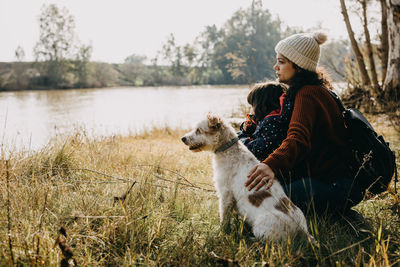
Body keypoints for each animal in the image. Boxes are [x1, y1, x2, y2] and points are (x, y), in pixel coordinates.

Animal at [181, 115, 310, 241]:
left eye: (198, 130)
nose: (183, 138)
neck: (228, 149)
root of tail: (303, 230)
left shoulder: (226, 194)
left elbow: (224, 217)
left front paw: (221, 233)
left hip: (262, 230)